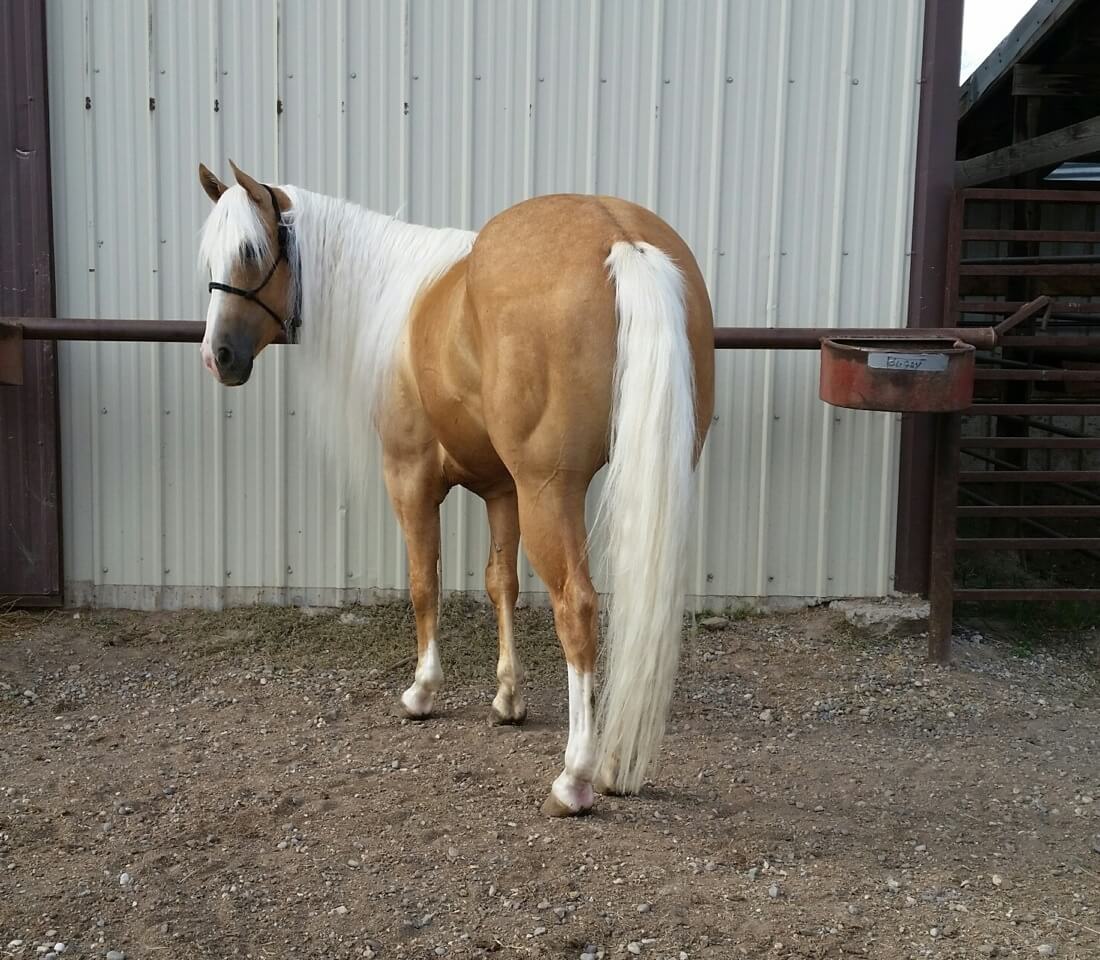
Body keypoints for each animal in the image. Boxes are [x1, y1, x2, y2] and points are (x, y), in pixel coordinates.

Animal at [197, 160, 715, 817]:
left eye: (250, 250)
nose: (217, 356)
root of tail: (620, 238)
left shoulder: (411, 476)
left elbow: (425, 583)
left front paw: (423, 691)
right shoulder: (501, 490)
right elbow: (501, 585)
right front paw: (508, 699)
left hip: (551, 491)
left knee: (577, 607)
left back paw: (575, 778)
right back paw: (617, 762)